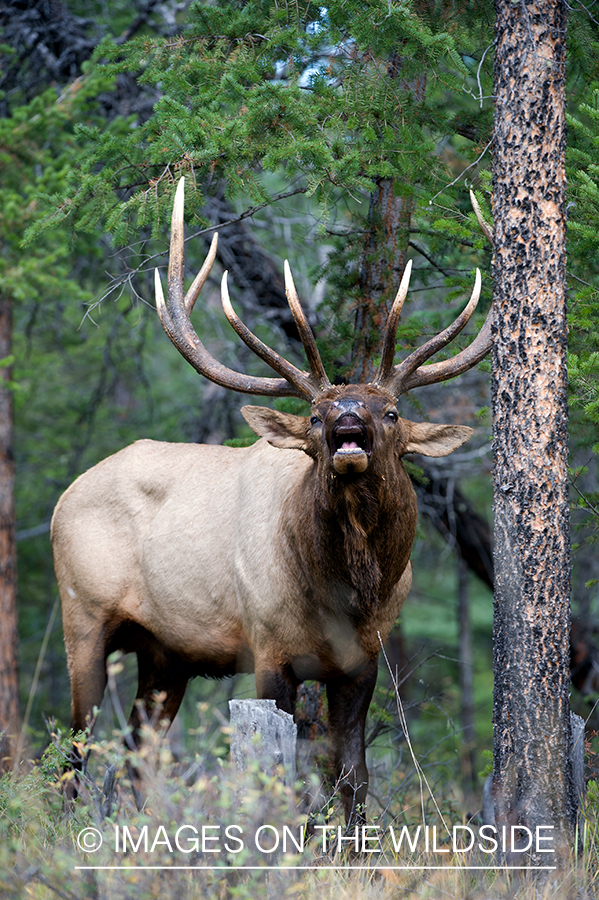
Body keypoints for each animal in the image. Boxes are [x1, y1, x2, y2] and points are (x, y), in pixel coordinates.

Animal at [52, 179, 492, 828]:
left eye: (391, 412)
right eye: (313, 416)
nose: (347, 420)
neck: (347, 595)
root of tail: (66, 496)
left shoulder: (364, 660)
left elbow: (351, 777)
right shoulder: (268, 647)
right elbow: (279, 777)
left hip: (165, 653)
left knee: (139, 749)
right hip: (82, 616)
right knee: (73, 750)